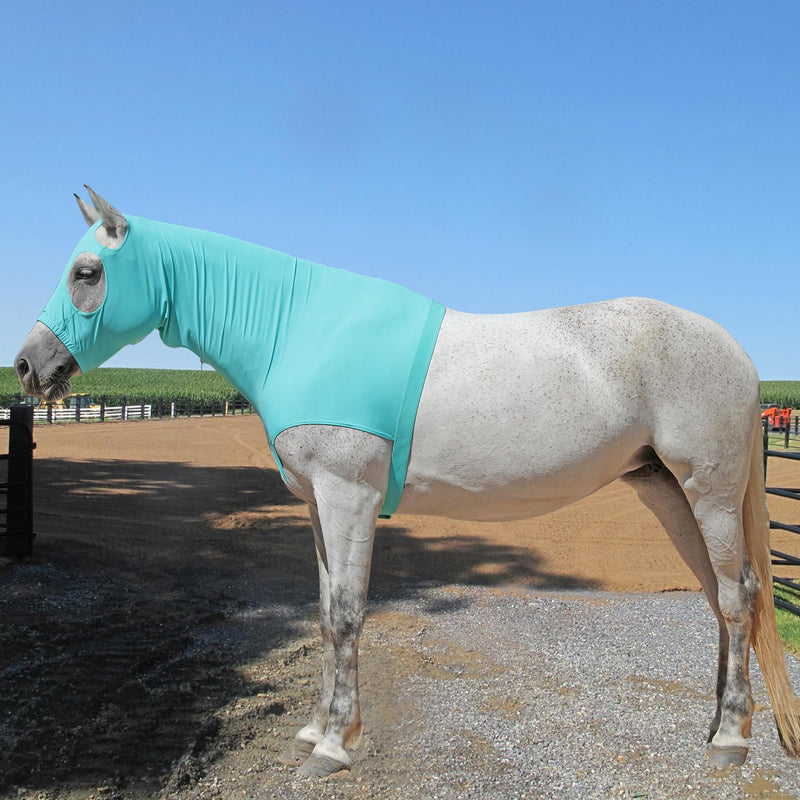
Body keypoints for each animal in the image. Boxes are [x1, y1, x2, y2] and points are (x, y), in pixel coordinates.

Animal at [15, 187, 800, 778]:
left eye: (86, 272)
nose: (27, 366)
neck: (300, 328)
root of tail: (737, 352)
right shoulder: (318, 505)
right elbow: (323, 609)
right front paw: (316, 730)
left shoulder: (348, 497)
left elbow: (346, 614)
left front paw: (333, 748)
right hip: (667, 491)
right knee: (722, 599)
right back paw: (713, 726)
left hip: (708, 493)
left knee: (738, 599)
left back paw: (730, 743)